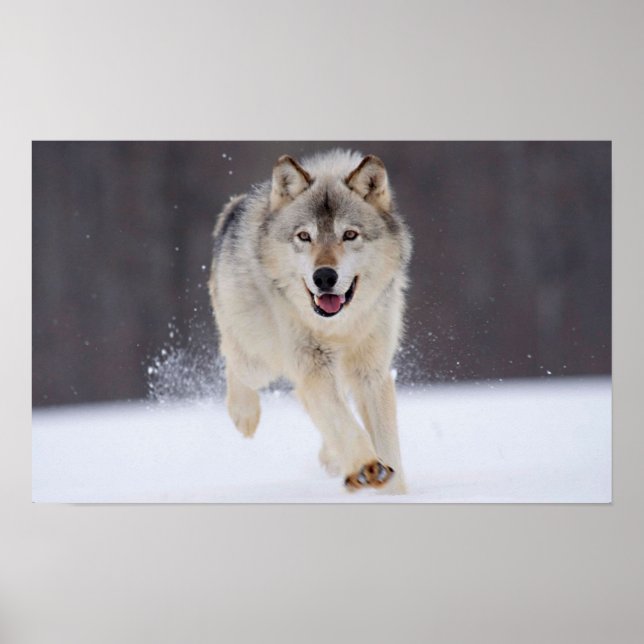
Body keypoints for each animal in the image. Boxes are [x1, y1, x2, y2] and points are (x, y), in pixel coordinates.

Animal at [208, 149, 412, 493]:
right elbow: (345, 423)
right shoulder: (313, 366)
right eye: (304, 236)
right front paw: (366, 467)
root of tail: (234, 208)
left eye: (349, 235)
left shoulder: (371, 372)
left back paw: (333, 459)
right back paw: (244, 415)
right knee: (234, 362)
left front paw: (392, 490)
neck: (339, 327)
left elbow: (386, 443)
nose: (324, 277)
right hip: (260, 359)